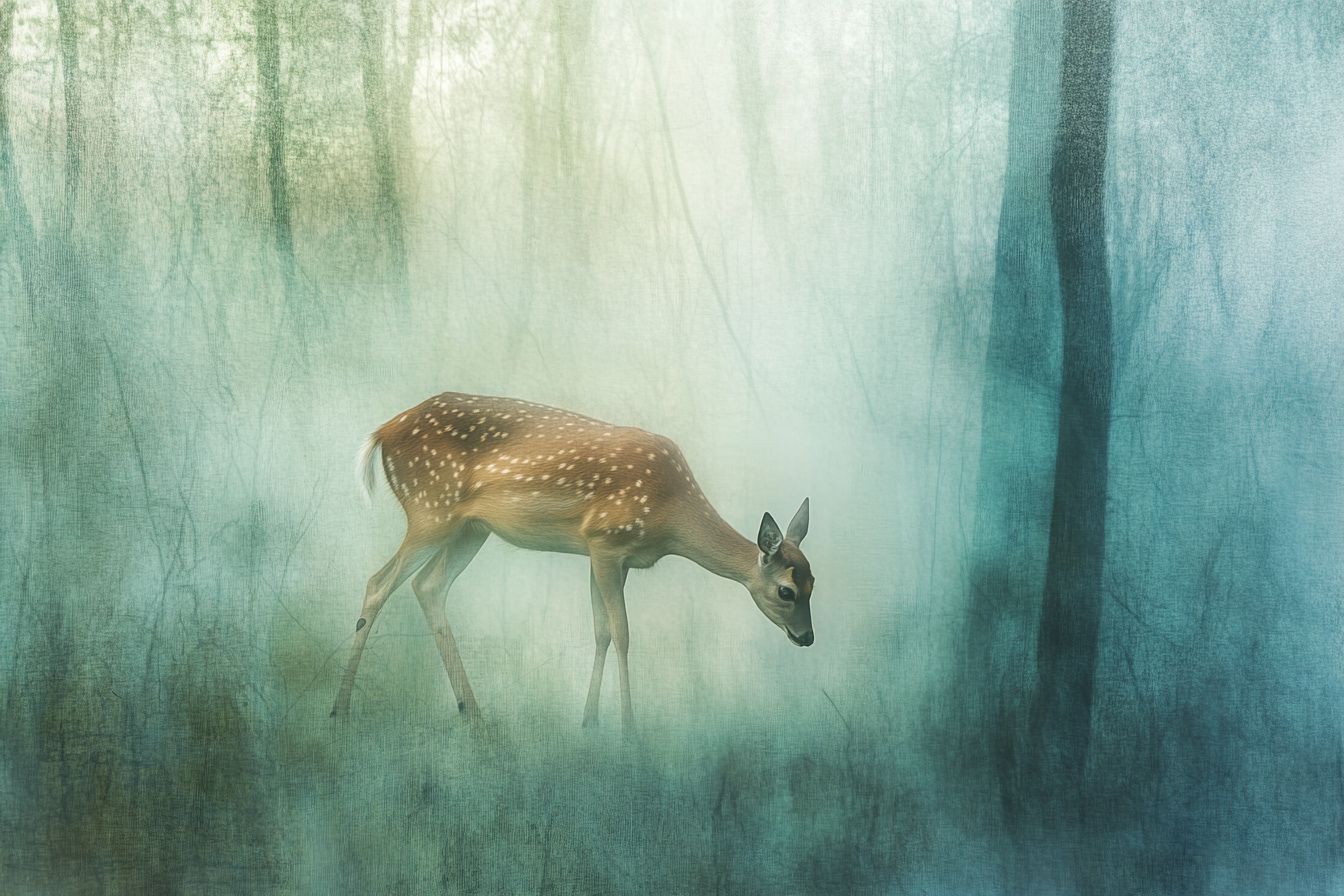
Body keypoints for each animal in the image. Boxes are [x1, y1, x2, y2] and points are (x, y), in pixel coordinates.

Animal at [330, 391, 814, 731]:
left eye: (815, 585)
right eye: (785, 590)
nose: (807, 638)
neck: (671, 513)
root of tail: (382, 432)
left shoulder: (604, 554)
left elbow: (600, 631)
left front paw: (590, 721)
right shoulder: (606, 541)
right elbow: (622, 633)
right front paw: (629, 729)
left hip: (470, 527)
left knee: (427, 586)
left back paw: (474, 713)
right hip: (431, 508)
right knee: (378, 582)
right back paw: (340, 711)